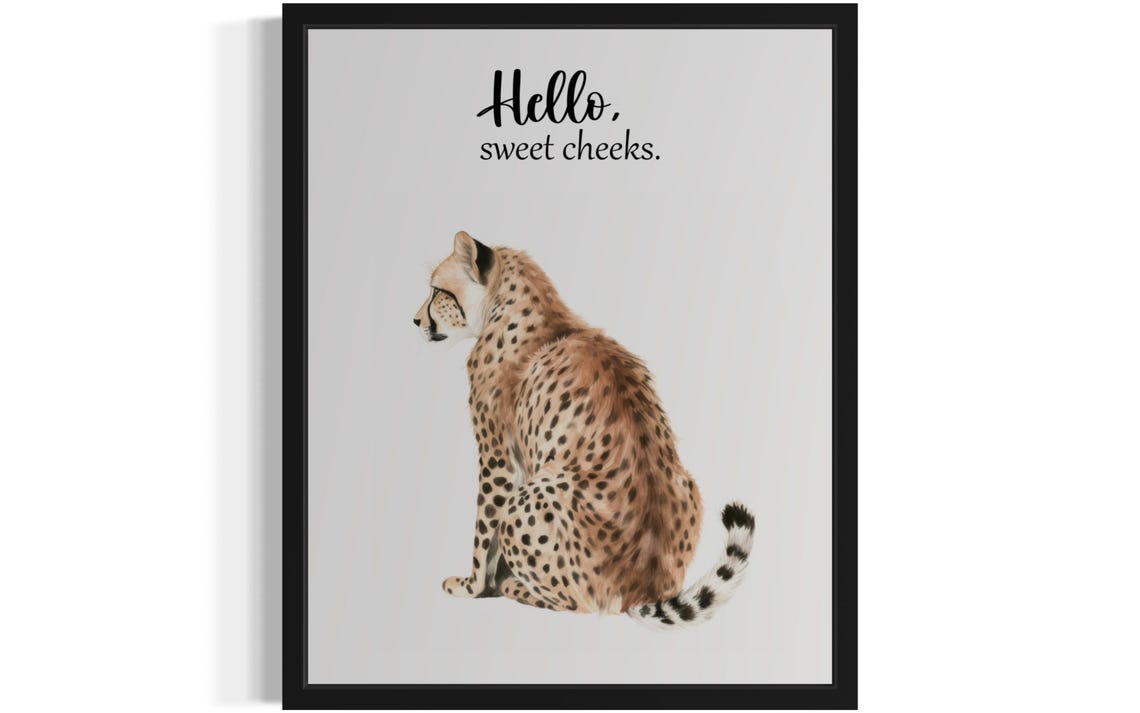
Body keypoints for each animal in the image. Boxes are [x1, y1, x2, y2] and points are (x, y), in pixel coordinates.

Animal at [413, 231, 756, 628]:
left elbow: (484, 529)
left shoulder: (497, 455)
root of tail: (641, 590)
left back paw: (513, 585)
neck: (514, 303)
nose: (415, 320)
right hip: (689, 484)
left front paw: (471, 585)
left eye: (437, 292)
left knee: (577, 602)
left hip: (533, 494)